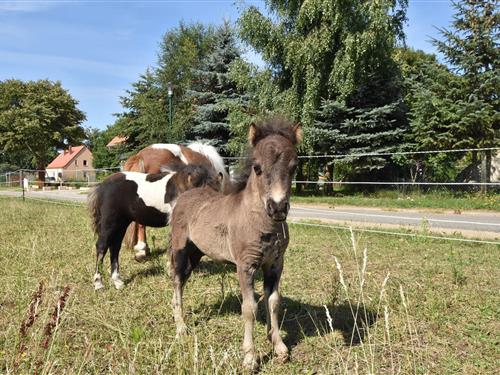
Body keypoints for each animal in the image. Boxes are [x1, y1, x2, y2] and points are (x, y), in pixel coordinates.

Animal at [87, 164, 221, 290]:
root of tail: (102, 185)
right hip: (109, 222)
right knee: (102, 246)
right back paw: (98, 283)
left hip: (121, 224)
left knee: (115, 247)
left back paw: (117, 281)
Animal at [168, 119, 300, 370]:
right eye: (257, 167)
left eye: (294, 167)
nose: (277, 207)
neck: (263, 225)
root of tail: (188, 194)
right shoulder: (245, 265)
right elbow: (249, 308)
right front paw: (249, 357)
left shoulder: (275, 264)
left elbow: (273, 302)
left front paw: (279, 347)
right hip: (180, 249)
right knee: (177, 281)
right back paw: (180, 327)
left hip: (196, 253)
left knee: (184, 279)